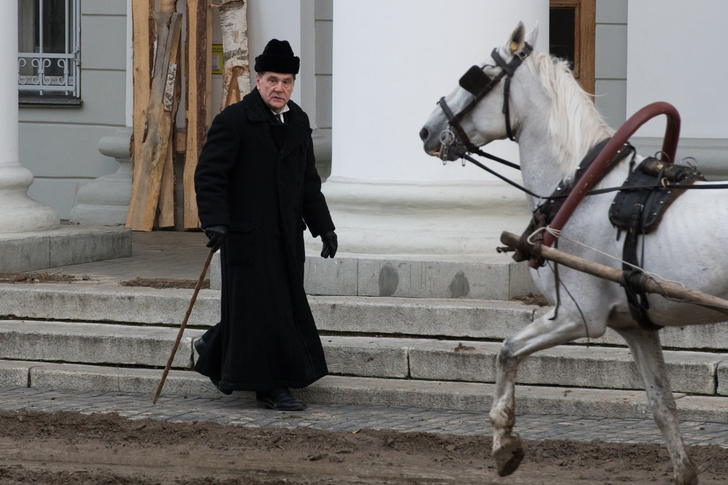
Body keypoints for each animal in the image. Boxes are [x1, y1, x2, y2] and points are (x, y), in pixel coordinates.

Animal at [420, 20, 728, 482]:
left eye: (475, 75)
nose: (426, 129)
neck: (583, 187)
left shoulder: (577, 316)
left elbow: (506, 351)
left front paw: (503, 442)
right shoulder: (635, 327)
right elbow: (662, 406)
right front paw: (684, 472)